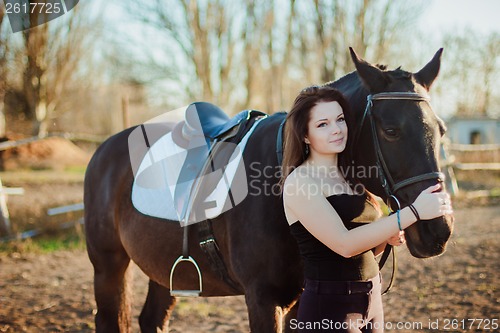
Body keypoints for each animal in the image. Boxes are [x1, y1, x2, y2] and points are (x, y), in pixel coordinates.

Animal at [85, 48, 454, 330]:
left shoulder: (302, 299)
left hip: (167, 272)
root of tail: (106, 148)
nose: (438, 230)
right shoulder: (263, 299)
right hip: (109, 267)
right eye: (390, 130)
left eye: (442, 130)